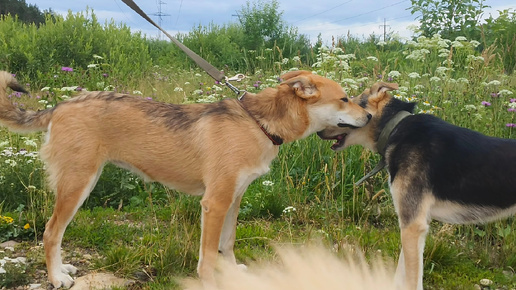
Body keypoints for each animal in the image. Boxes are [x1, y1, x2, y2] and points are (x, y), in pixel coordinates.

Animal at [0, 70, 370, 288]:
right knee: (51, 233)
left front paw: (232, 272)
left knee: (56, 234)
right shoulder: (215, 203)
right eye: (344, 98)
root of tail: (59, 106)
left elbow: (227, 244)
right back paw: (56, 277)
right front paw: (210, 280)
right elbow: (208, 257)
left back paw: (63, 269)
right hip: (78, 185)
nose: (369, 116)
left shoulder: (234, 199)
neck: (258, 123)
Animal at [316, 81, 516, 290]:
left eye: (347, 103)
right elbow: (400, 272)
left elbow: (411, 279)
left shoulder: (412, 225)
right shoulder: (412, 223)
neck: (394, 128)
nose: (318, 131)